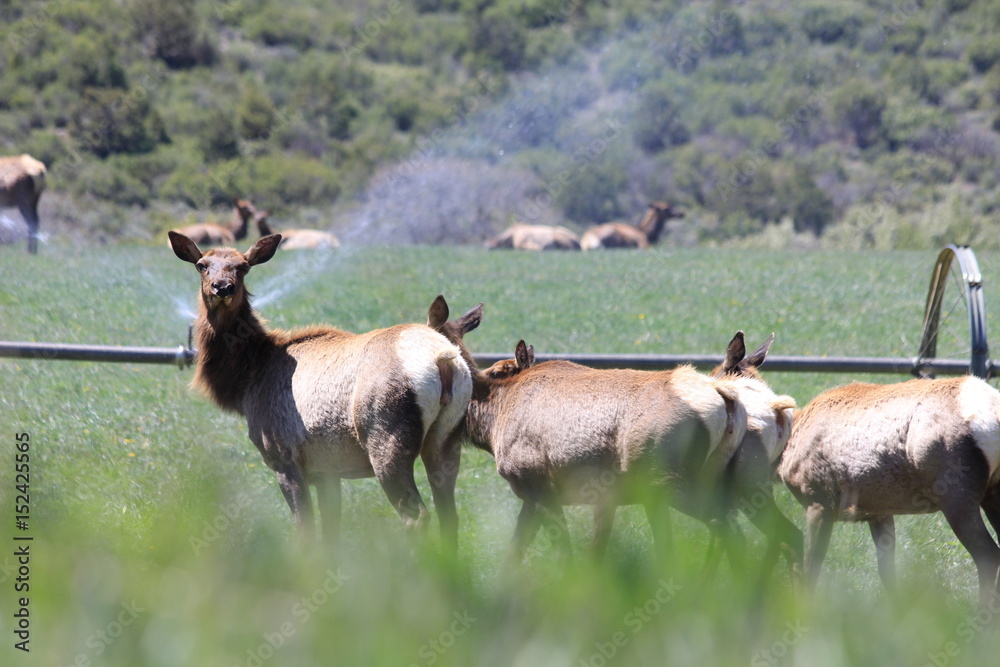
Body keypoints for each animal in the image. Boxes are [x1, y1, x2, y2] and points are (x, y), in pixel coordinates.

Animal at [168, 230, 477, 552]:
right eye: (202, 265)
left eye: (242, 267)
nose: (222, 287)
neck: (246, 380)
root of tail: (443, 360)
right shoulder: (327, 471)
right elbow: (331, 535)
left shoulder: (284, 458)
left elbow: (305, 532)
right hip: (446, 440)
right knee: (449, 516)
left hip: (387, 438)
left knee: (416, 515)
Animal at [778, 376, 1000, 607]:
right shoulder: (879, 512)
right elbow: (886, 572)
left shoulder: (818, 502)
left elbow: (810, 567)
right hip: (992, 492)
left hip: (957, 496)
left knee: (987, 554)